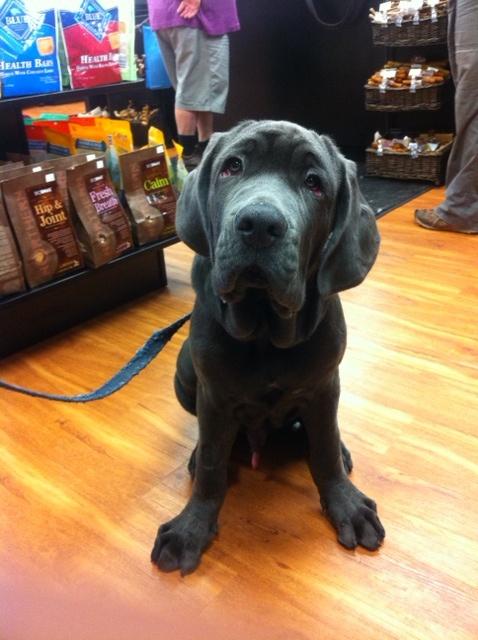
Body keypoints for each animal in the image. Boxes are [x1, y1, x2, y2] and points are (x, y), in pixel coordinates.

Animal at [151, 120, 385, 574]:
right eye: (232, 167)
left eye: (314, 183)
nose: (259, 224)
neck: (264, 329)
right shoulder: (214, 396)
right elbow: (212, 466)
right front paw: (191, 526)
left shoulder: (324, 387)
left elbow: (324, 448)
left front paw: (346, 504)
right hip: (184, 373)